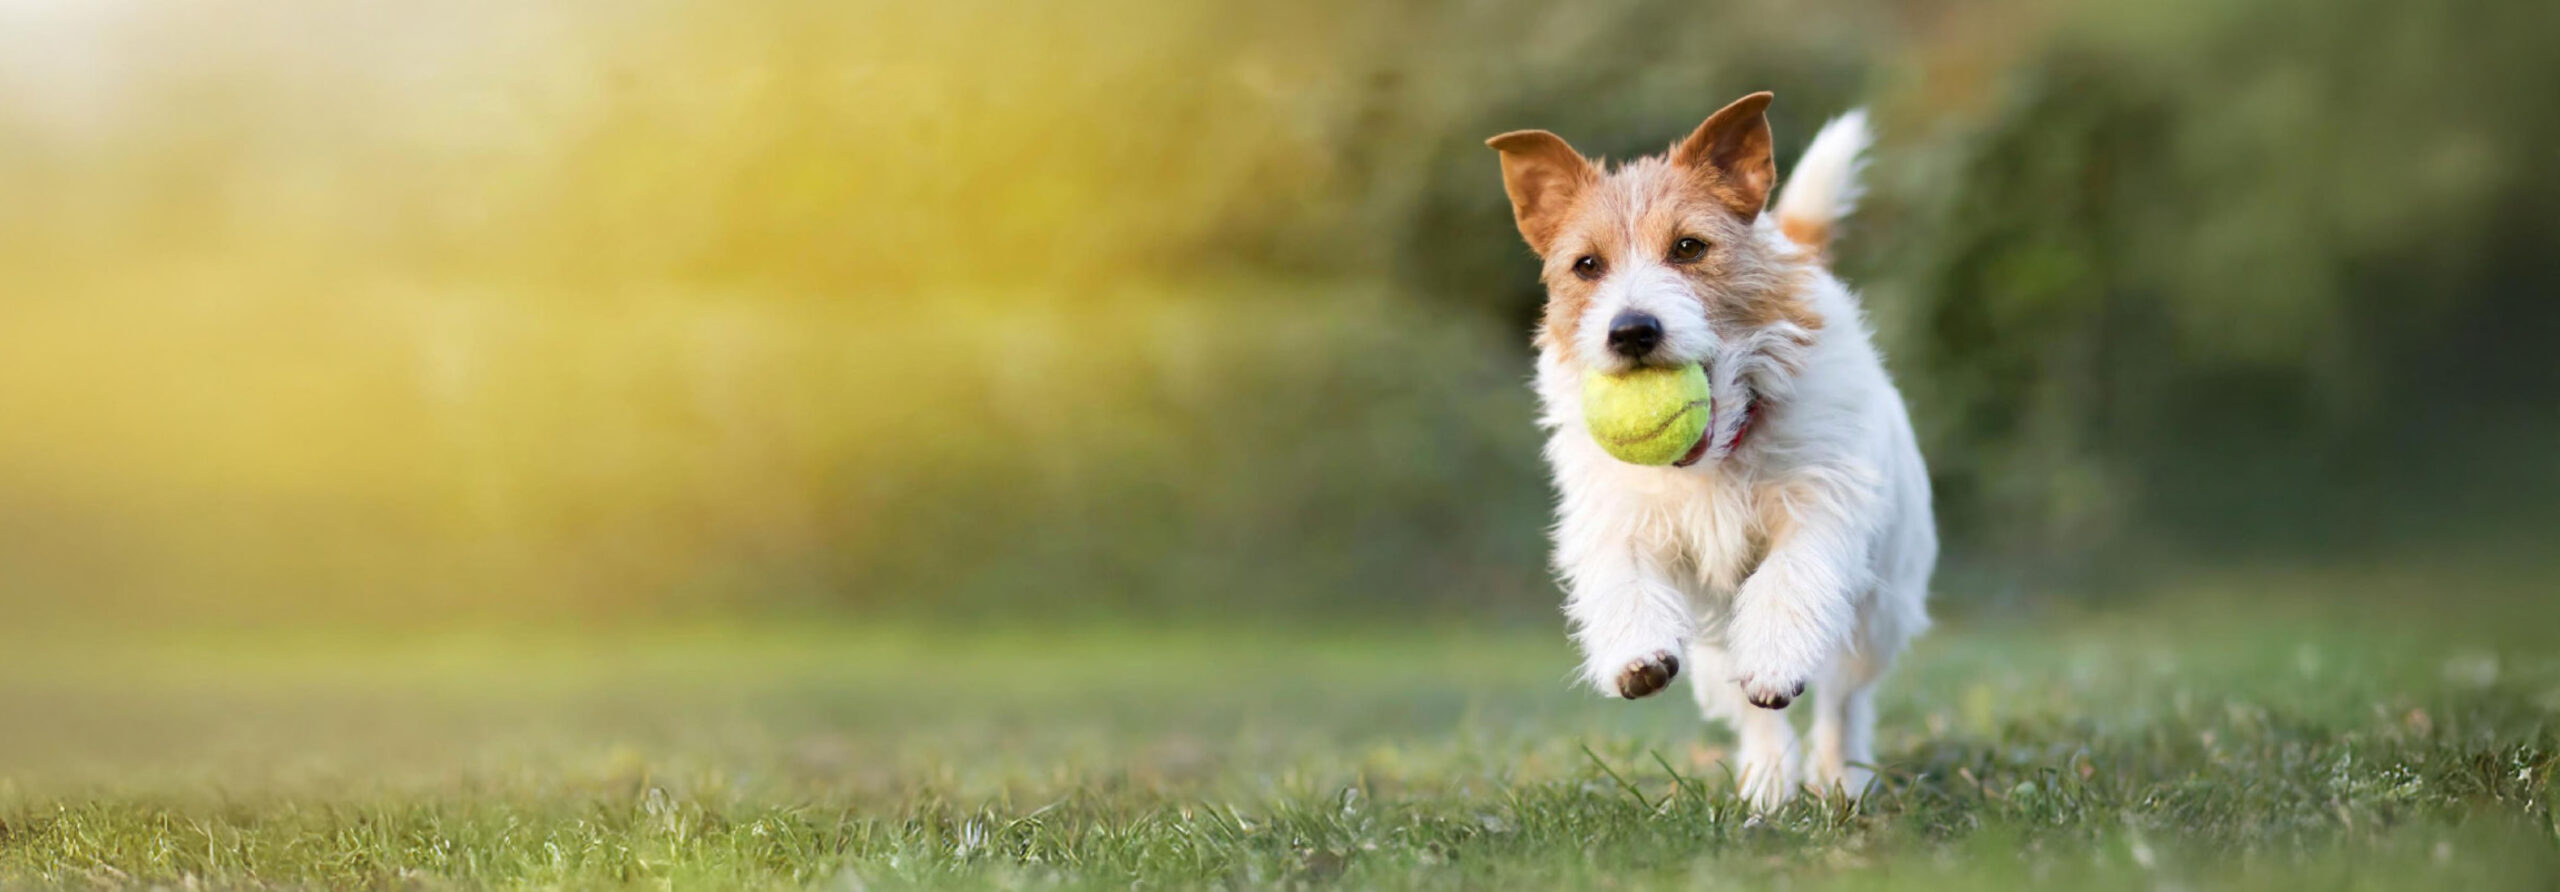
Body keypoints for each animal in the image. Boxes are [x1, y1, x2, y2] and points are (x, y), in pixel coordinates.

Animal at [1495, 92, 1925, 809]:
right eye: (1587, 265)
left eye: (1689, 247)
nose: (1631, 330)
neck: (1718, 456)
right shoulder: (1619, 516)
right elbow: (1621, 575)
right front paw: (1635, 654)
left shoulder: (1822, 503)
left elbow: (1790, 577)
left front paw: (1777, 659)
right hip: (1718, 642)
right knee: (1753, 712)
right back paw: (1767, 783)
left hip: (1879, 608)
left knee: (1843, 696)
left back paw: (1840, 776)